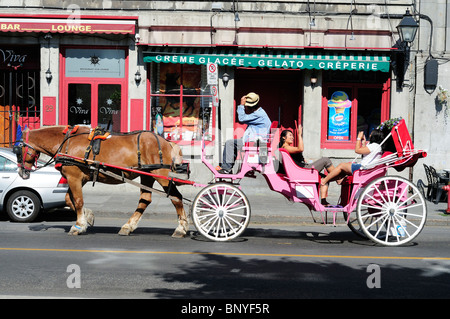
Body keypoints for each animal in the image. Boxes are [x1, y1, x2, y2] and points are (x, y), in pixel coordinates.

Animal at [12, 125, 188, 238]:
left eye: (18, 150)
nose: (21, 172)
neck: (67, 142)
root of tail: (166, 141)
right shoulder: (79, 178)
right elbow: (69, 199)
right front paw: (88, 216)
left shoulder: (74, 176)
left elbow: (78, 200)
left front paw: (78, 225)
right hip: (147, 174)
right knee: (145, 200)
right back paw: (128, 226)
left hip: (160, 174)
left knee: (176, 197)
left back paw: (181, 228)